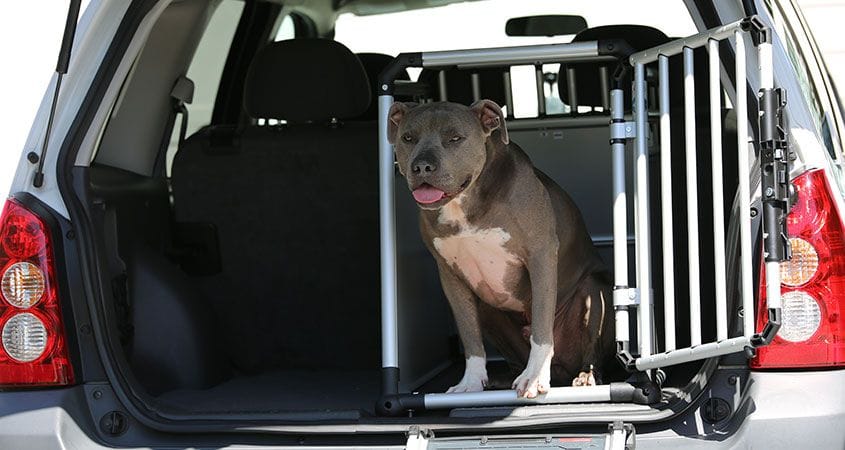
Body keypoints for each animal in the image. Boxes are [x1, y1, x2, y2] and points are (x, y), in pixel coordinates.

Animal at [388, 99, 612, 398]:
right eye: (408, 138)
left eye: (455, 138)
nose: (422, 166)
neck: (465, 203)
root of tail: (563, 371)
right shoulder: (450, 275)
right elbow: (470, 336)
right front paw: (470, 382)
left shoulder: (540, 255)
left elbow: (542, 327)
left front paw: (534, 378)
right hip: (487, 307)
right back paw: (503, 379)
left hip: (593, 291)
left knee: (590, 347)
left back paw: (586, 376)